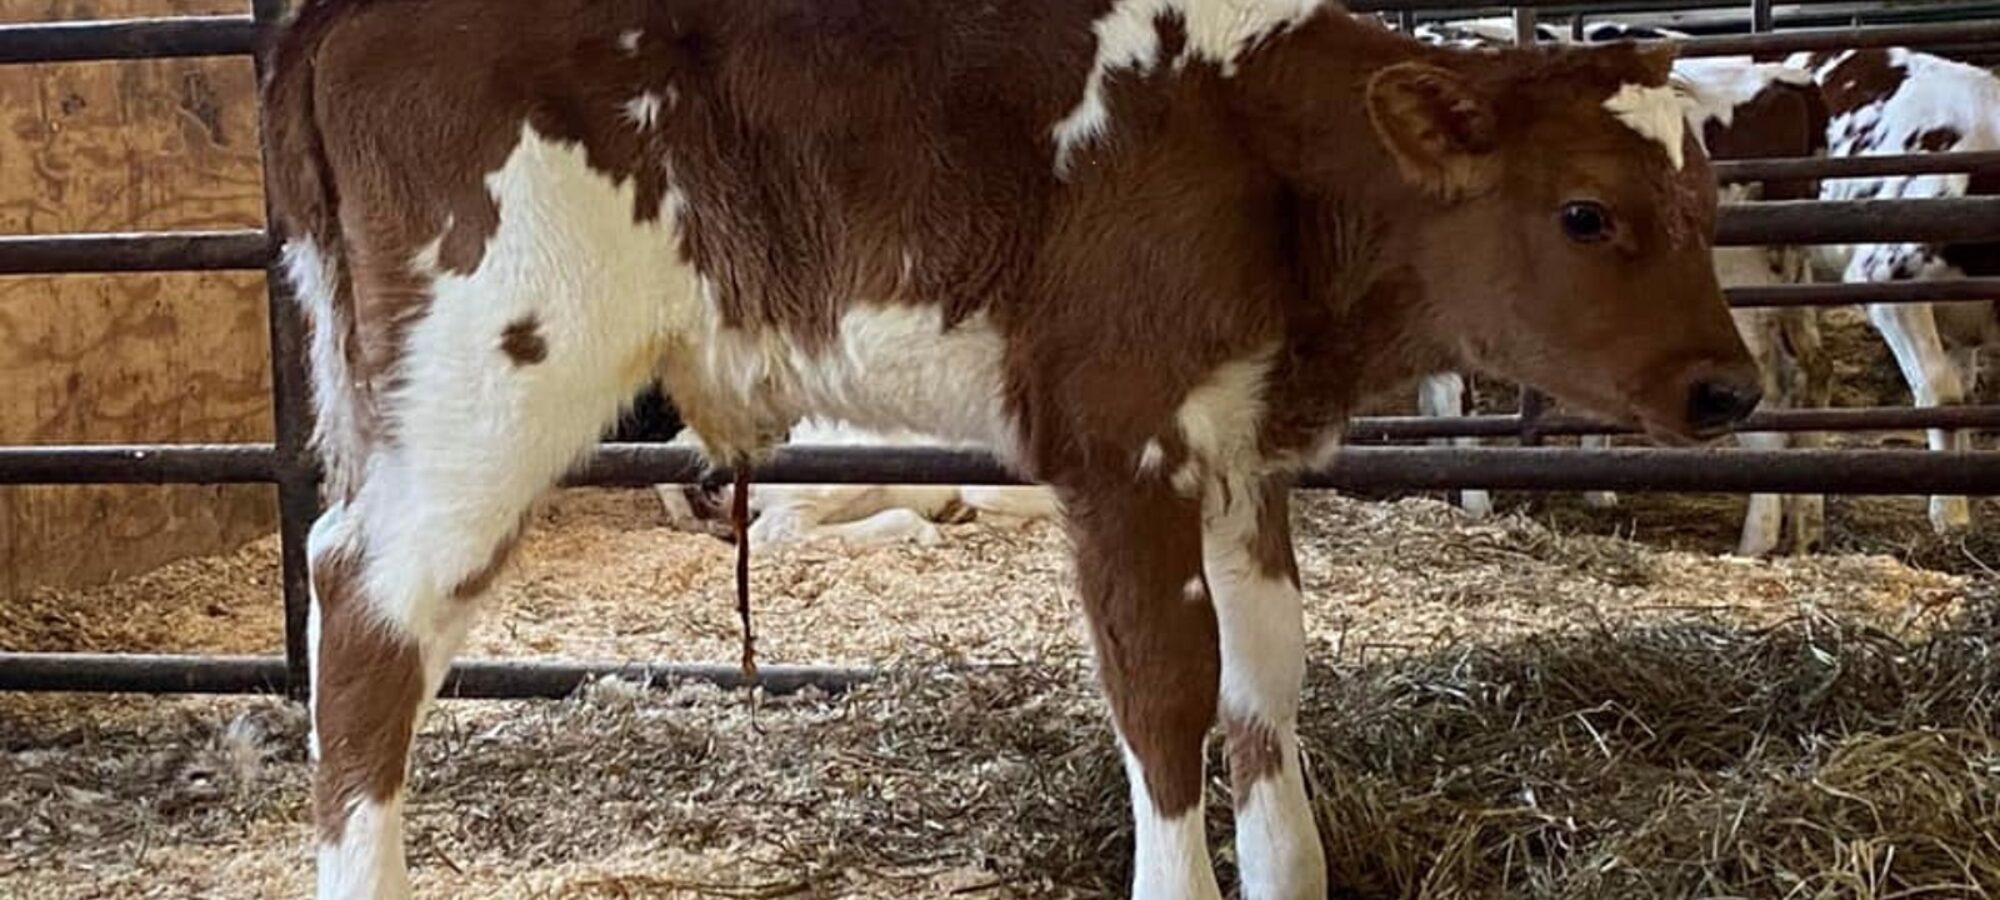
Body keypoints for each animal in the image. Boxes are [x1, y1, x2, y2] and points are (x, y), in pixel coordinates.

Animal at [260, 0, 1760, 895]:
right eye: (1584, 212)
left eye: (1706, 202)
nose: (1730, 390)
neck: (1250, 147)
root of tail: (343, 18)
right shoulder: (1117, 443)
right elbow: (1164, 694)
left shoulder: (1241, 453)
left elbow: (1265, 688)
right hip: (500, 370)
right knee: (371, 606)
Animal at [1408, 20, 1832, 557]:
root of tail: (1789, 81)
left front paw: (1471, 500)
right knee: (1809, 375)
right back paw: (1804, 527)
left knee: (1769, 392)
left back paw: (1754, 539)